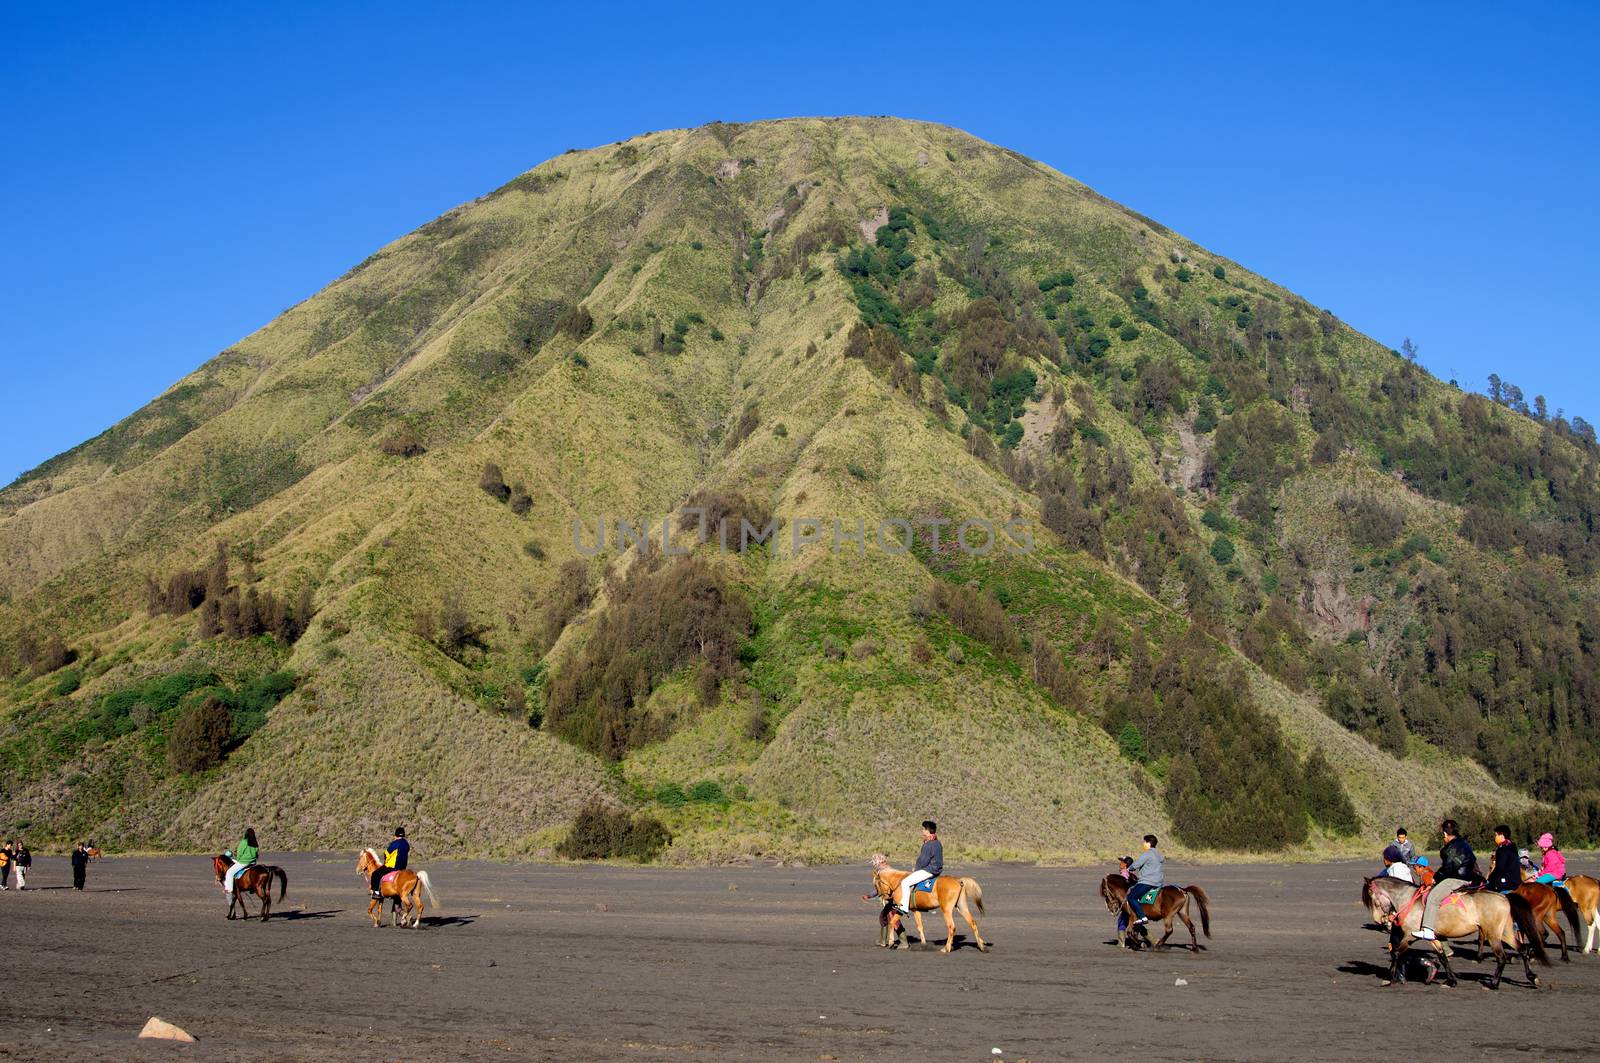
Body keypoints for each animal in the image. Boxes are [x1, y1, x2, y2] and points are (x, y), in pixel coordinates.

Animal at [1363, 870, 1548, 986]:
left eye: (1371, 898)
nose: (1379, 920)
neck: (1409, 899)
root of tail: (1504, 897)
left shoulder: (1410, 935)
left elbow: (1396, 952)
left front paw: (1388, 978)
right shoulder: (1433, 938)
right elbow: (1443, 957)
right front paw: (1451, 980)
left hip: (1493, 934)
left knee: (1502, 957)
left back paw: (1494, 983)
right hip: (1505, 933)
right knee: (1523, 949)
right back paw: (1532, 977)